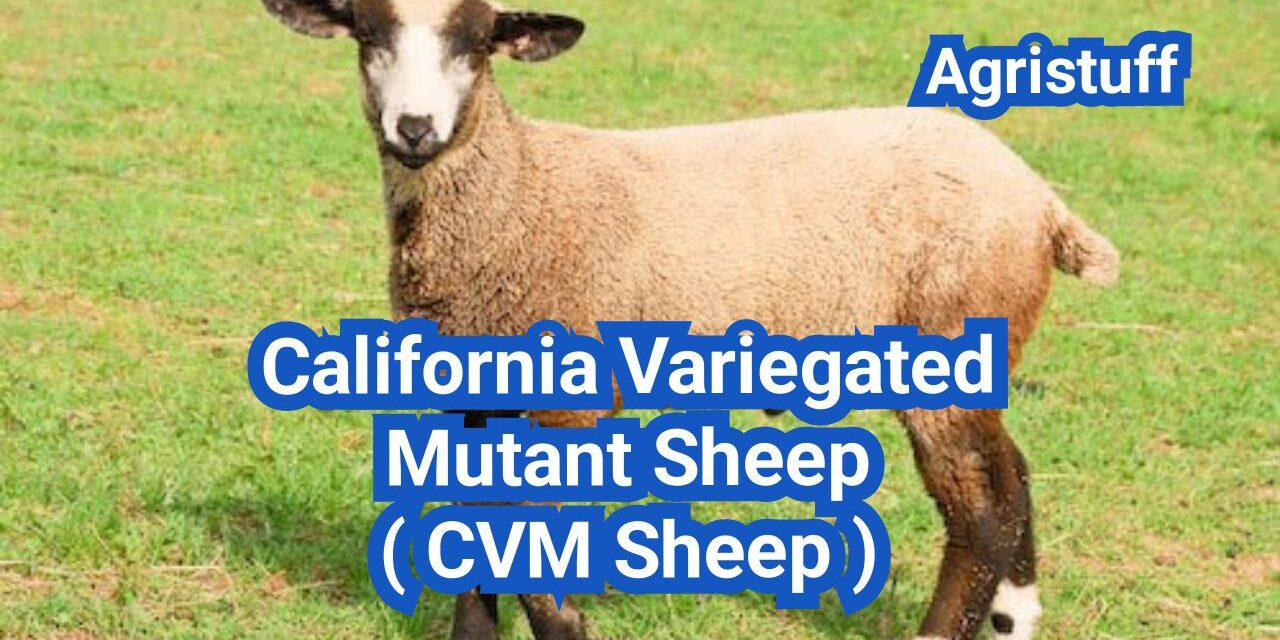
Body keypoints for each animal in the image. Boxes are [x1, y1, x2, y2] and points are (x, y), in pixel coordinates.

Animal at [258, 1, 1120, 639]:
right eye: (369, 35)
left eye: (476, 43)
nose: (413, 129)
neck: (522, 193)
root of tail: (1041, 201)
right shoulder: (472, 391)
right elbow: (475, 538)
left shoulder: (568, 398)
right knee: (1011, 476)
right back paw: (1016, 616)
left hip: (946, 336)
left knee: (980, 513)